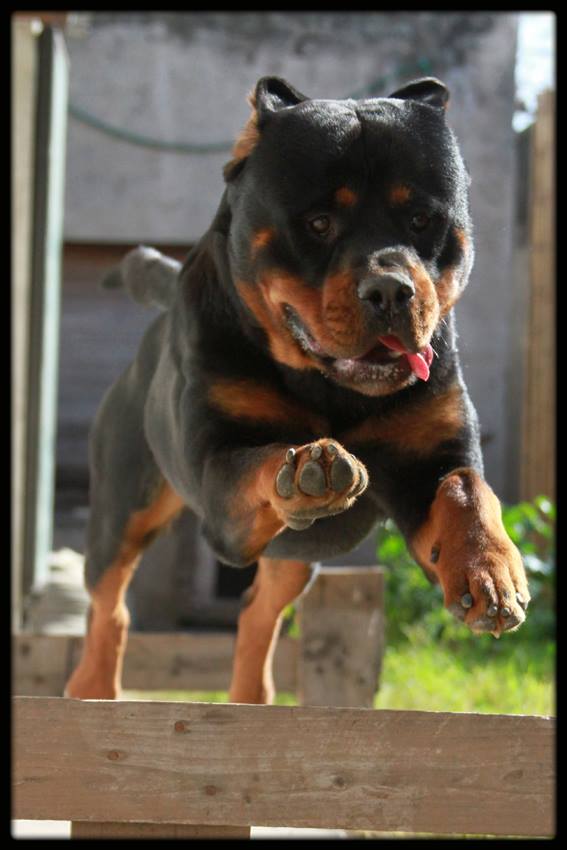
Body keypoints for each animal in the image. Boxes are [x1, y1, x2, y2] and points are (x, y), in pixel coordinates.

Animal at [65, 78, 528, 704]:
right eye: (319, 223)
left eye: (421, 220)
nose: (390, 289)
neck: (332, 388)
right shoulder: (217, 481)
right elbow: (257, 462)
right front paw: (309, 466)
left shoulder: (432, 457)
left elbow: (466, 489)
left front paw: (490, 569)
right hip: (123, 503)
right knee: (108, 601)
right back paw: (90, 687)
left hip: (297, 557)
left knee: (258, 609)